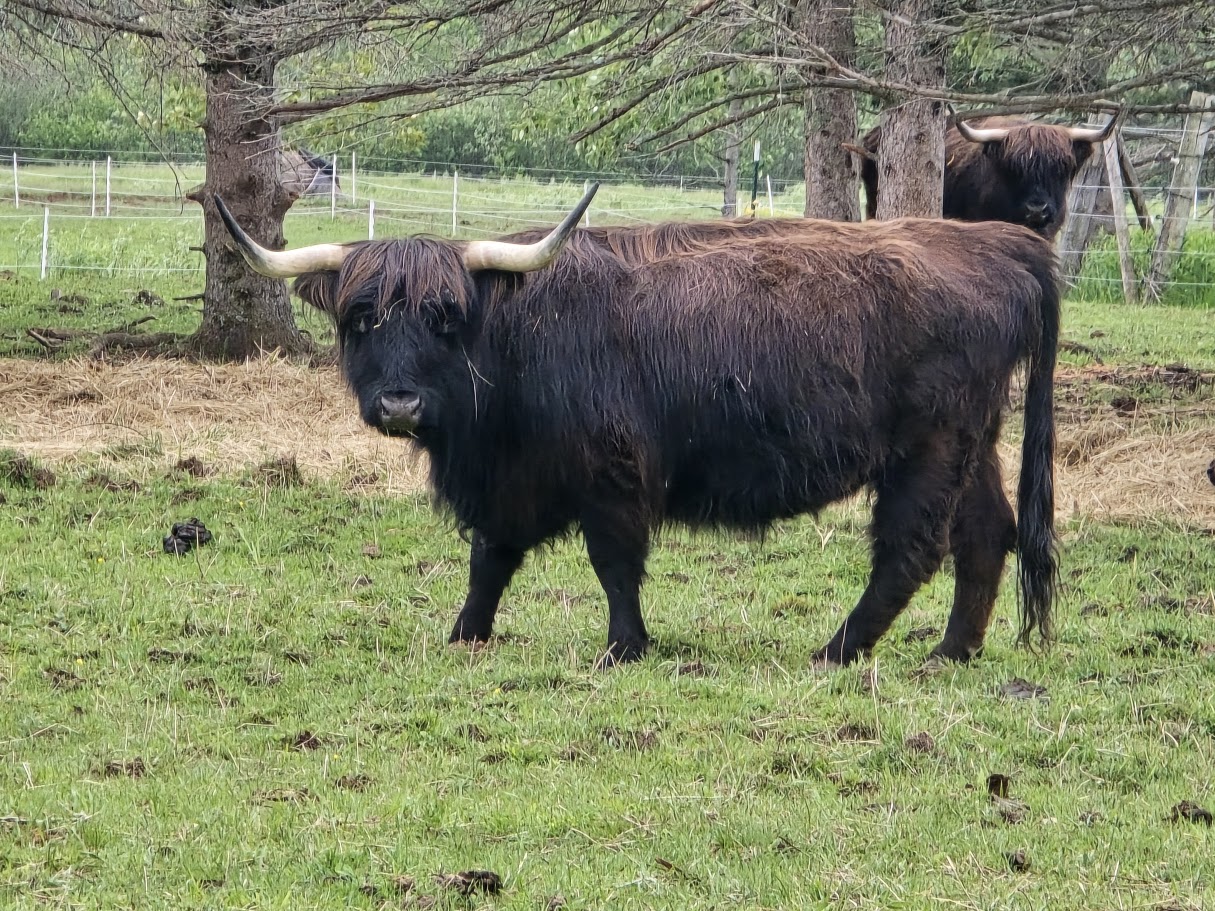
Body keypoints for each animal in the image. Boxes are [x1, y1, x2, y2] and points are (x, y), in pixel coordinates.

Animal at [214, 187, 1059, 669]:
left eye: (443, 317)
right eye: (361, 317)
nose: (398, 404)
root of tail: (995, 240)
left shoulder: (613, 471)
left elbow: (613, 562)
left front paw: (623, 647)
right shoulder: (507, 480)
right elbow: (490, 559)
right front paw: (466, 634)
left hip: (928, 445)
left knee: (911, 547)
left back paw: (836, 650)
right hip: (974, 440)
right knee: (985, 532)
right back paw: (951, 651)